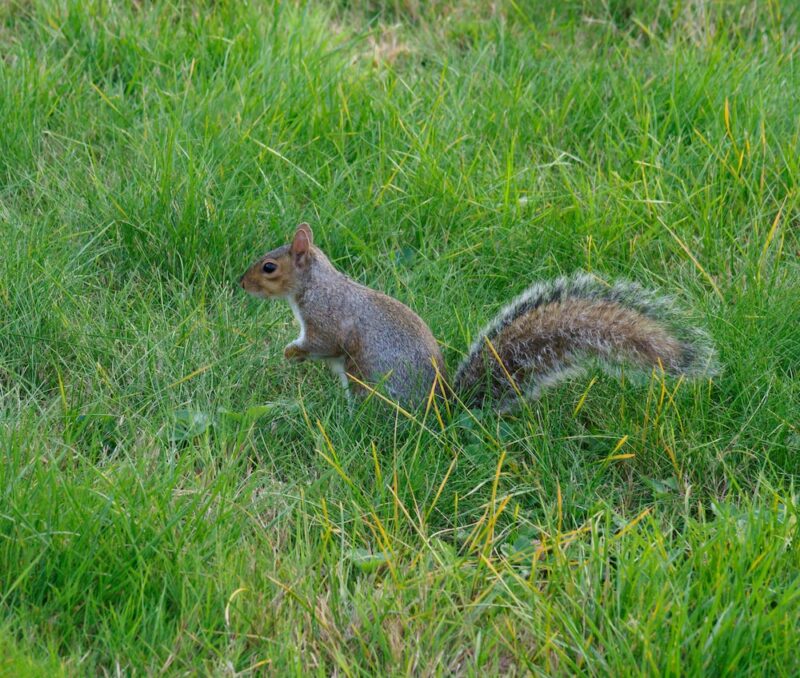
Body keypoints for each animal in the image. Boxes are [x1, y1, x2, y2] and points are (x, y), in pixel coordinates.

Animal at [239, 224, 720, 410]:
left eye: (270, 267)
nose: (241, 282)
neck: (316, 285)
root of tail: (442, 411)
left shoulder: (327, 319)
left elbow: (323, 345)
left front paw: (291, 353)